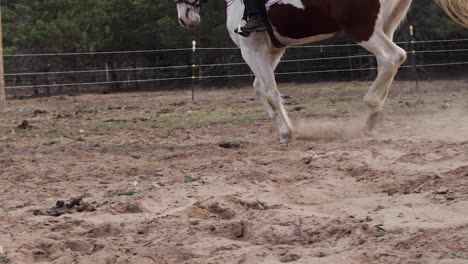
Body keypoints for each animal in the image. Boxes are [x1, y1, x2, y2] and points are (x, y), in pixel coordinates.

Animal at [175, 0, 468, 142]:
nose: (184, 18)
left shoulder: (252, 49)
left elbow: (269, 91)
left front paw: (286, 132)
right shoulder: (272, 49)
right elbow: (261, 88)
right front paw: (279, 121)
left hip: (362, 28)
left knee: (392, 57)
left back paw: (370, 110)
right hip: (386, 24)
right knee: (388, 63)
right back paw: (372, 118)